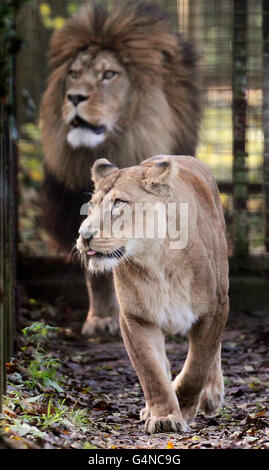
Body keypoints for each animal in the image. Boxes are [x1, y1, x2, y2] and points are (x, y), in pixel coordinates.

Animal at [38, 0, 200, 338]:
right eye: (73, 74)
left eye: (108, 74)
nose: (74, 96)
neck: (112, 145)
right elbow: (98, 265)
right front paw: (100, 319)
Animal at [76, 157, 228, 434]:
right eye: (92, 205)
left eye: (119, 203)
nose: (84, 236)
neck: (157, 260)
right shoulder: (136, 317)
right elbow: (151, 371)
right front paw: (164, 416)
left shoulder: (214, 308)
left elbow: (197, 365)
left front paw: (184, 406)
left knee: (214, 350)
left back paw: (211, 394)